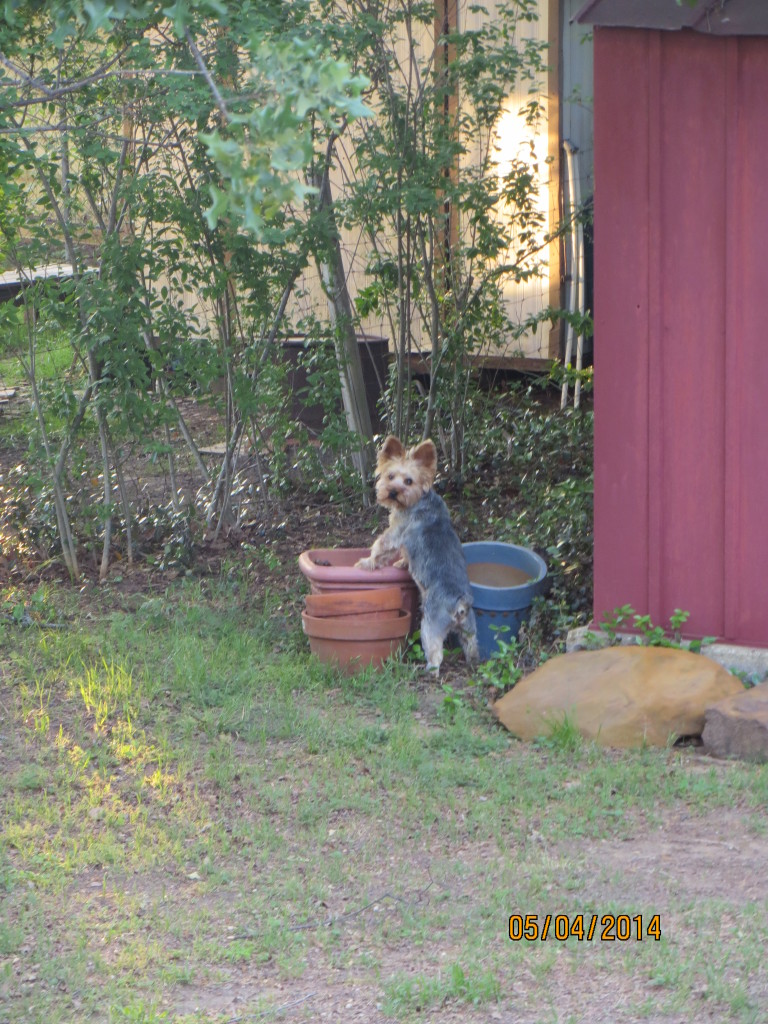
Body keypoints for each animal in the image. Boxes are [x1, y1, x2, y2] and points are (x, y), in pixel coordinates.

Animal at [356, 438, 479, 671]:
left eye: (408, 481)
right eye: (390, 476)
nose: (392, 492)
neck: (418, 499)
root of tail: (460, 602)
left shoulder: (396, 532)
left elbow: (381, 546)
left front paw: (366, 562)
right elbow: (403, 554)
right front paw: (401, 564)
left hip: (430, 624)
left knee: (435, 652)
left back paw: (428, 669)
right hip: (469, 627)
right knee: (472, 645)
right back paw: (473, 663)